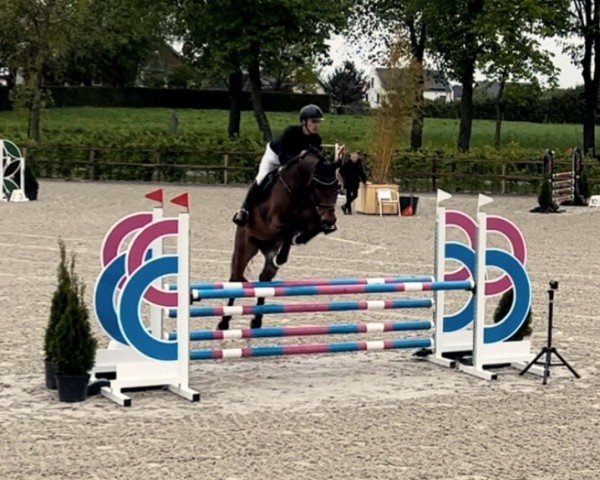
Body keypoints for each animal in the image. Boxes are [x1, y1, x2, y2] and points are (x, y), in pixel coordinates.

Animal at [219, 150, 342, 330]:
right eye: (316, 186)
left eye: (337, 187)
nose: (330, 220)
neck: (299, 189)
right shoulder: (275, 223)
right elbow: (288, 230)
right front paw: (283, 255)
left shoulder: (312, 220)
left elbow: (309, 229)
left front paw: (299, 239)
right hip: (245, 246)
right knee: (236, 279)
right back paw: (224, 322)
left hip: (269, 249)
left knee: (264, 278)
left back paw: (257, 320)